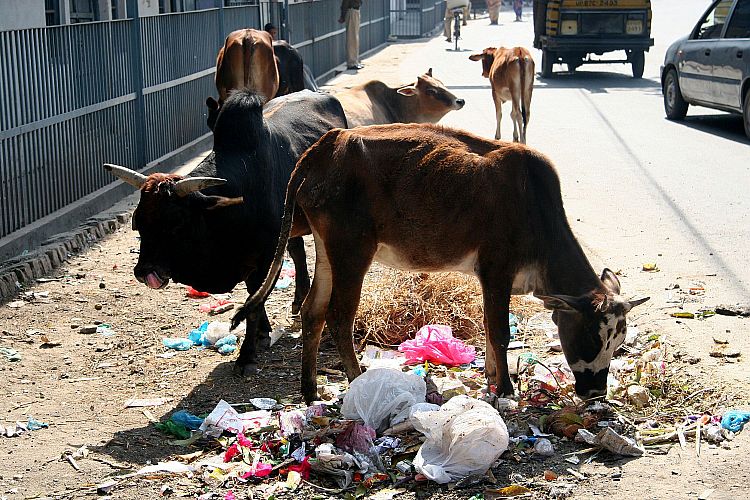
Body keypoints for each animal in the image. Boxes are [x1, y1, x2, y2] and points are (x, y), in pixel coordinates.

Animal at [104, 89, 348, 377]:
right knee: (298, 251)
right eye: (138, 222)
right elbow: (254, 298)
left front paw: (247, 356)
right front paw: (263, 333)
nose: (144, 272)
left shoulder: (265, 259)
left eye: (176, 222)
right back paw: (299, 300)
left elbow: (254, 301)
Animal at [232, 123, 649, 404]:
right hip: (352, 250)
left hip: (327, 247)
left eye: (619, 342)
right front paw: (505, 390)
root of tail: (327, 144)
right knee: (338, 317)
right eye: (591, 337)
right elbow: (500, 332)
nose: (595, 393)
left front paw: (492, 379)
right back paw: (356, 379)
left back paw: (309, 391)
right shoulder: (496, 269)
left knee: (312, 311)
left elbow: (488, 329)